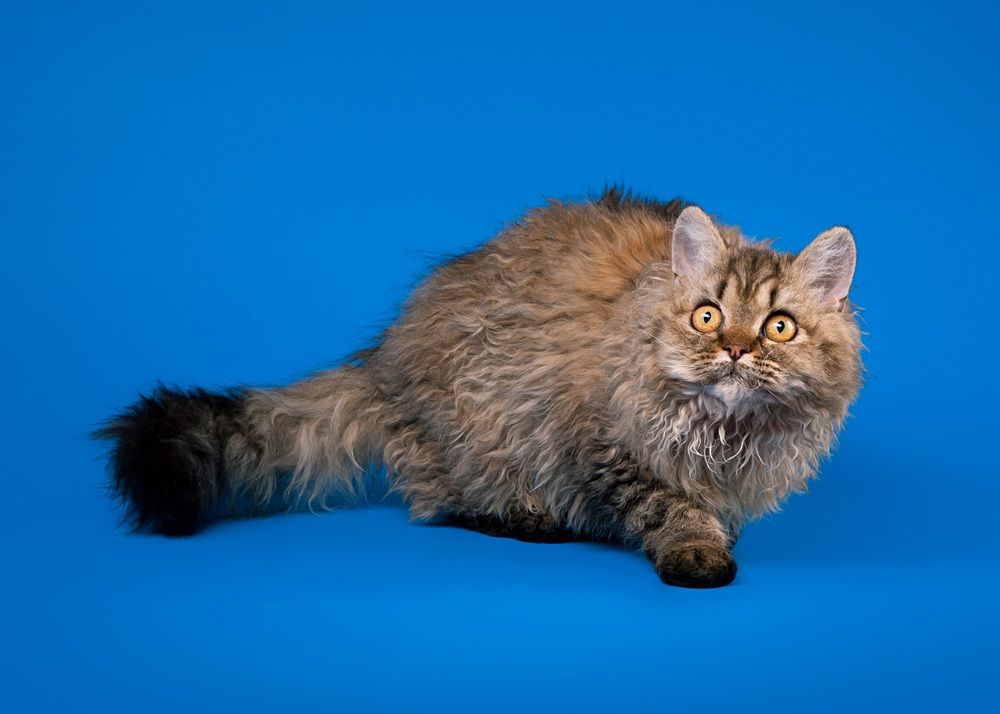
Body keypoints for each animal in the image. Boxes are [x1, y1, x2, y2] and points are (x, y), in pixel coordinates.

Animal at [97, 189, 864, 584]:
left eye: (779, 327)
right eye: (707, 315)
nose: (734, 348)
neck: (725, 433)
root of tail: (383, 362)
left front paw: (721, 531)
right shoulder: (603, 446)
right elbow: (666, 507)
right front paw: (697, 548)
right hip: (477, 433)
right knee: (441, 502)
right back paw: (526, 519)